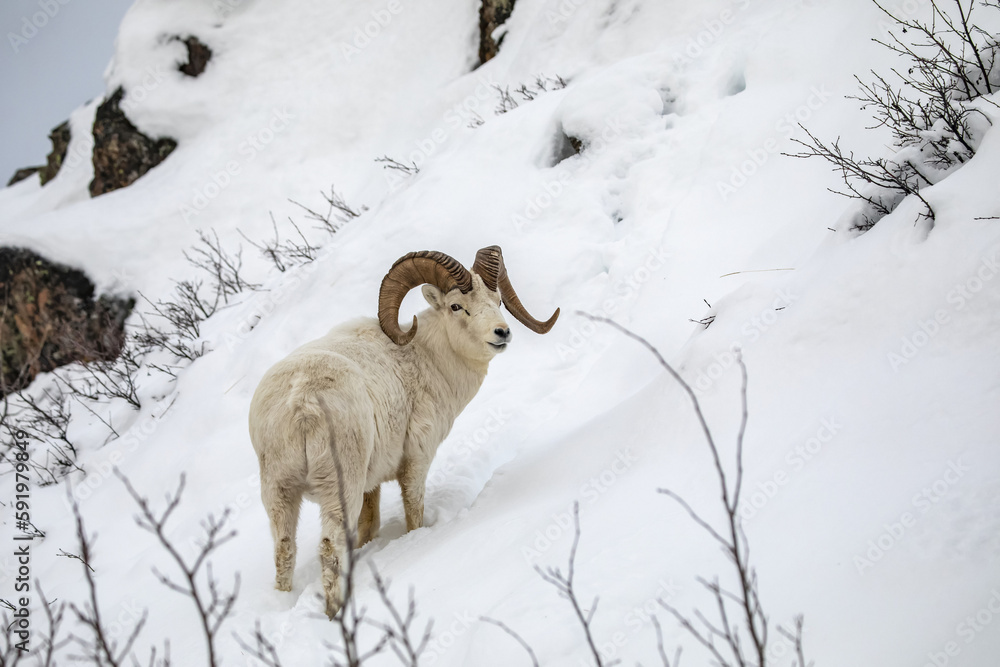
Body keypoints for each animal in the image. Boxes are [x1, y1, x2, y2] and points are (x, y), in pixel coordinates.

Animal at [248, 245, 559, 618]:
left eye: (497, 300)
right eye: (457, 306)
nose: (501, 333)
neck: (429, 357)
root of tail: (301, 402)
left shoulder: (372, 485)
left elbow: (370, 524)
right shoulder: (416, 460)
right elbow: (414, 510)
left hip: (279, 493)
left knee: (284, 550)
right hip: (339, 489)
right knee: (329, 548)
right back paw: (336, 611)